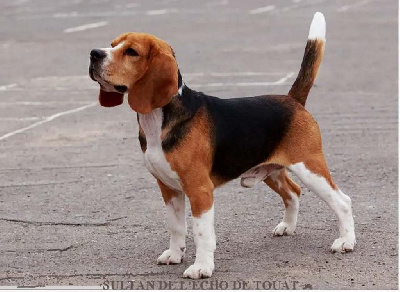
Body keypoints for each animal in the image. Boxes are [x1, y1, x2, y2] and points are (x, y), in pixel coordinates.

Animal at [89, 12, 354, 280]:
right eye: (112, 45)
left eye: (131, 51)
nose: (94, 53)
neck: (158, 118)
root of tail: (293, 100)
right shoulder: (168, 188)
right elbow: (176, 226)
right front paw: (175, 254)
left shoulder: (200, 190)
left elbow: (201, 233)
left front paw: (201, 267)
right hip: (272, 171)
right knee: (294, 192)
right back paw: (287, 226)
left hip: (309, 167)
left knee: (342, 201)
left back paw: (346, 241)